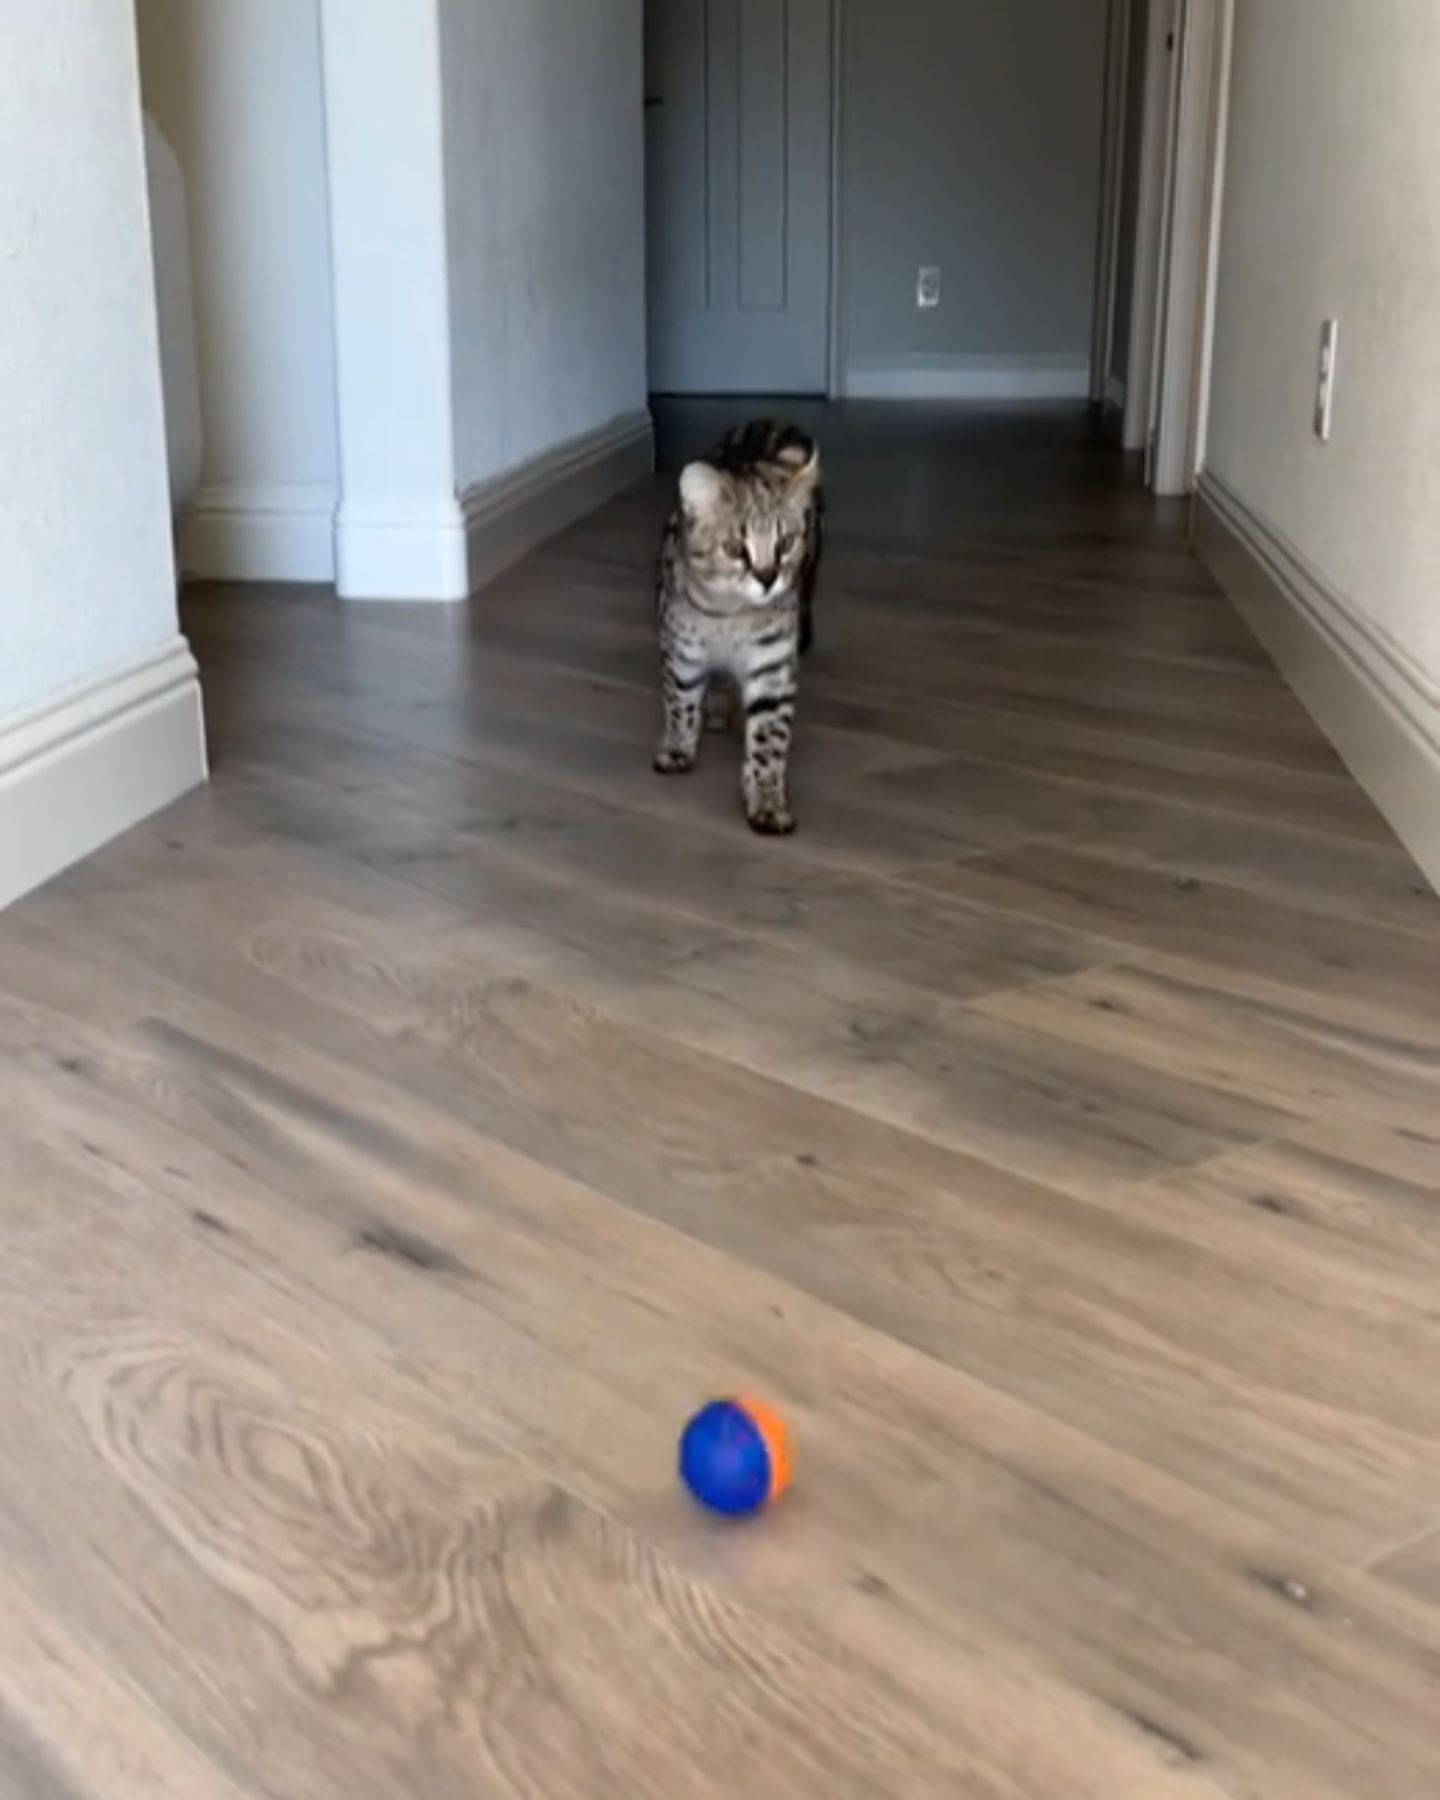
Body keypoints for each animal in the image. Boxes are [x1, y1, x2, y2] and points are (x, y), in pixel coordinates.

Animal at [651, 417, 820, 831]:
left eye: (785, 542)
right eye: (735, 549)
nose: (768, 578)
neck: (731, 618)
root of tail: (774, 421)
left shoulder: (773, 666)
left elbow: (769, 738)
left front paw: (767, 798)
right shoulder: (681, 651)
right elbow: (679, 700)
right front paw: (678, 747)